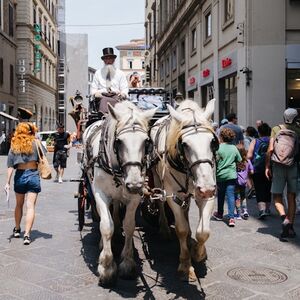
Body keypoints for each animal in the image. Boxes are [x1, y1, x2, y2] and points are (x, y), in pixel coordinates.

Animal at [82, 101, 156, 286]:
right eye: (119, 141)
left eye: (146, 141)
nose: (135, 184)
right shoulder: (100, 193)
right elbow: (106, 226)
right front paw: (107, 267)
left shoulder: (134, 197)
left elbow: (128, 225)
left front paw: (127, 264)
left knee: (115, 207)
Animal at [150, 98, 218, 282]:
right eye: (184, 144)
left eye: (213, 142)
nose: (206, 188)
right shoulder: (173, 195)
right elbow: (181, 229)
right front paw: (185, 265)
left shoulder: (207, 194)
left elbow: (203, 232)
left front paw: (198, 253)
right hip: (158, 181)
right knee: (161, 205)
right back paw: (165, 229)